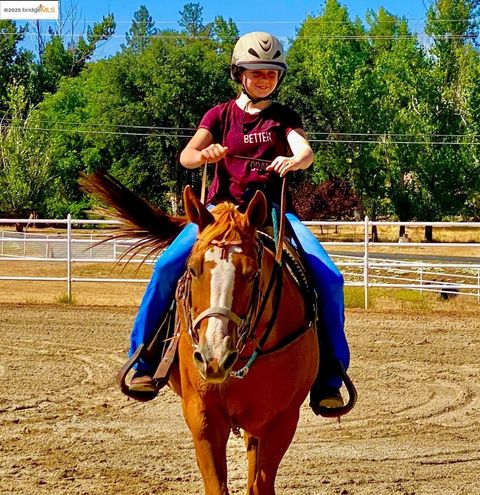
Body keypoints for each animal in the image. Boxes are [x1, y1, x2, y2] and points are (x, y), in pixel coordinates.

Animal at [81, 172, 320, 494]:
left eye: (252, 273)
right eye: (193, 269)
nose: (214, 356)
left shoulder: (281, 422)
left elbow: (260, 484)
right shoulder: (202, 417)